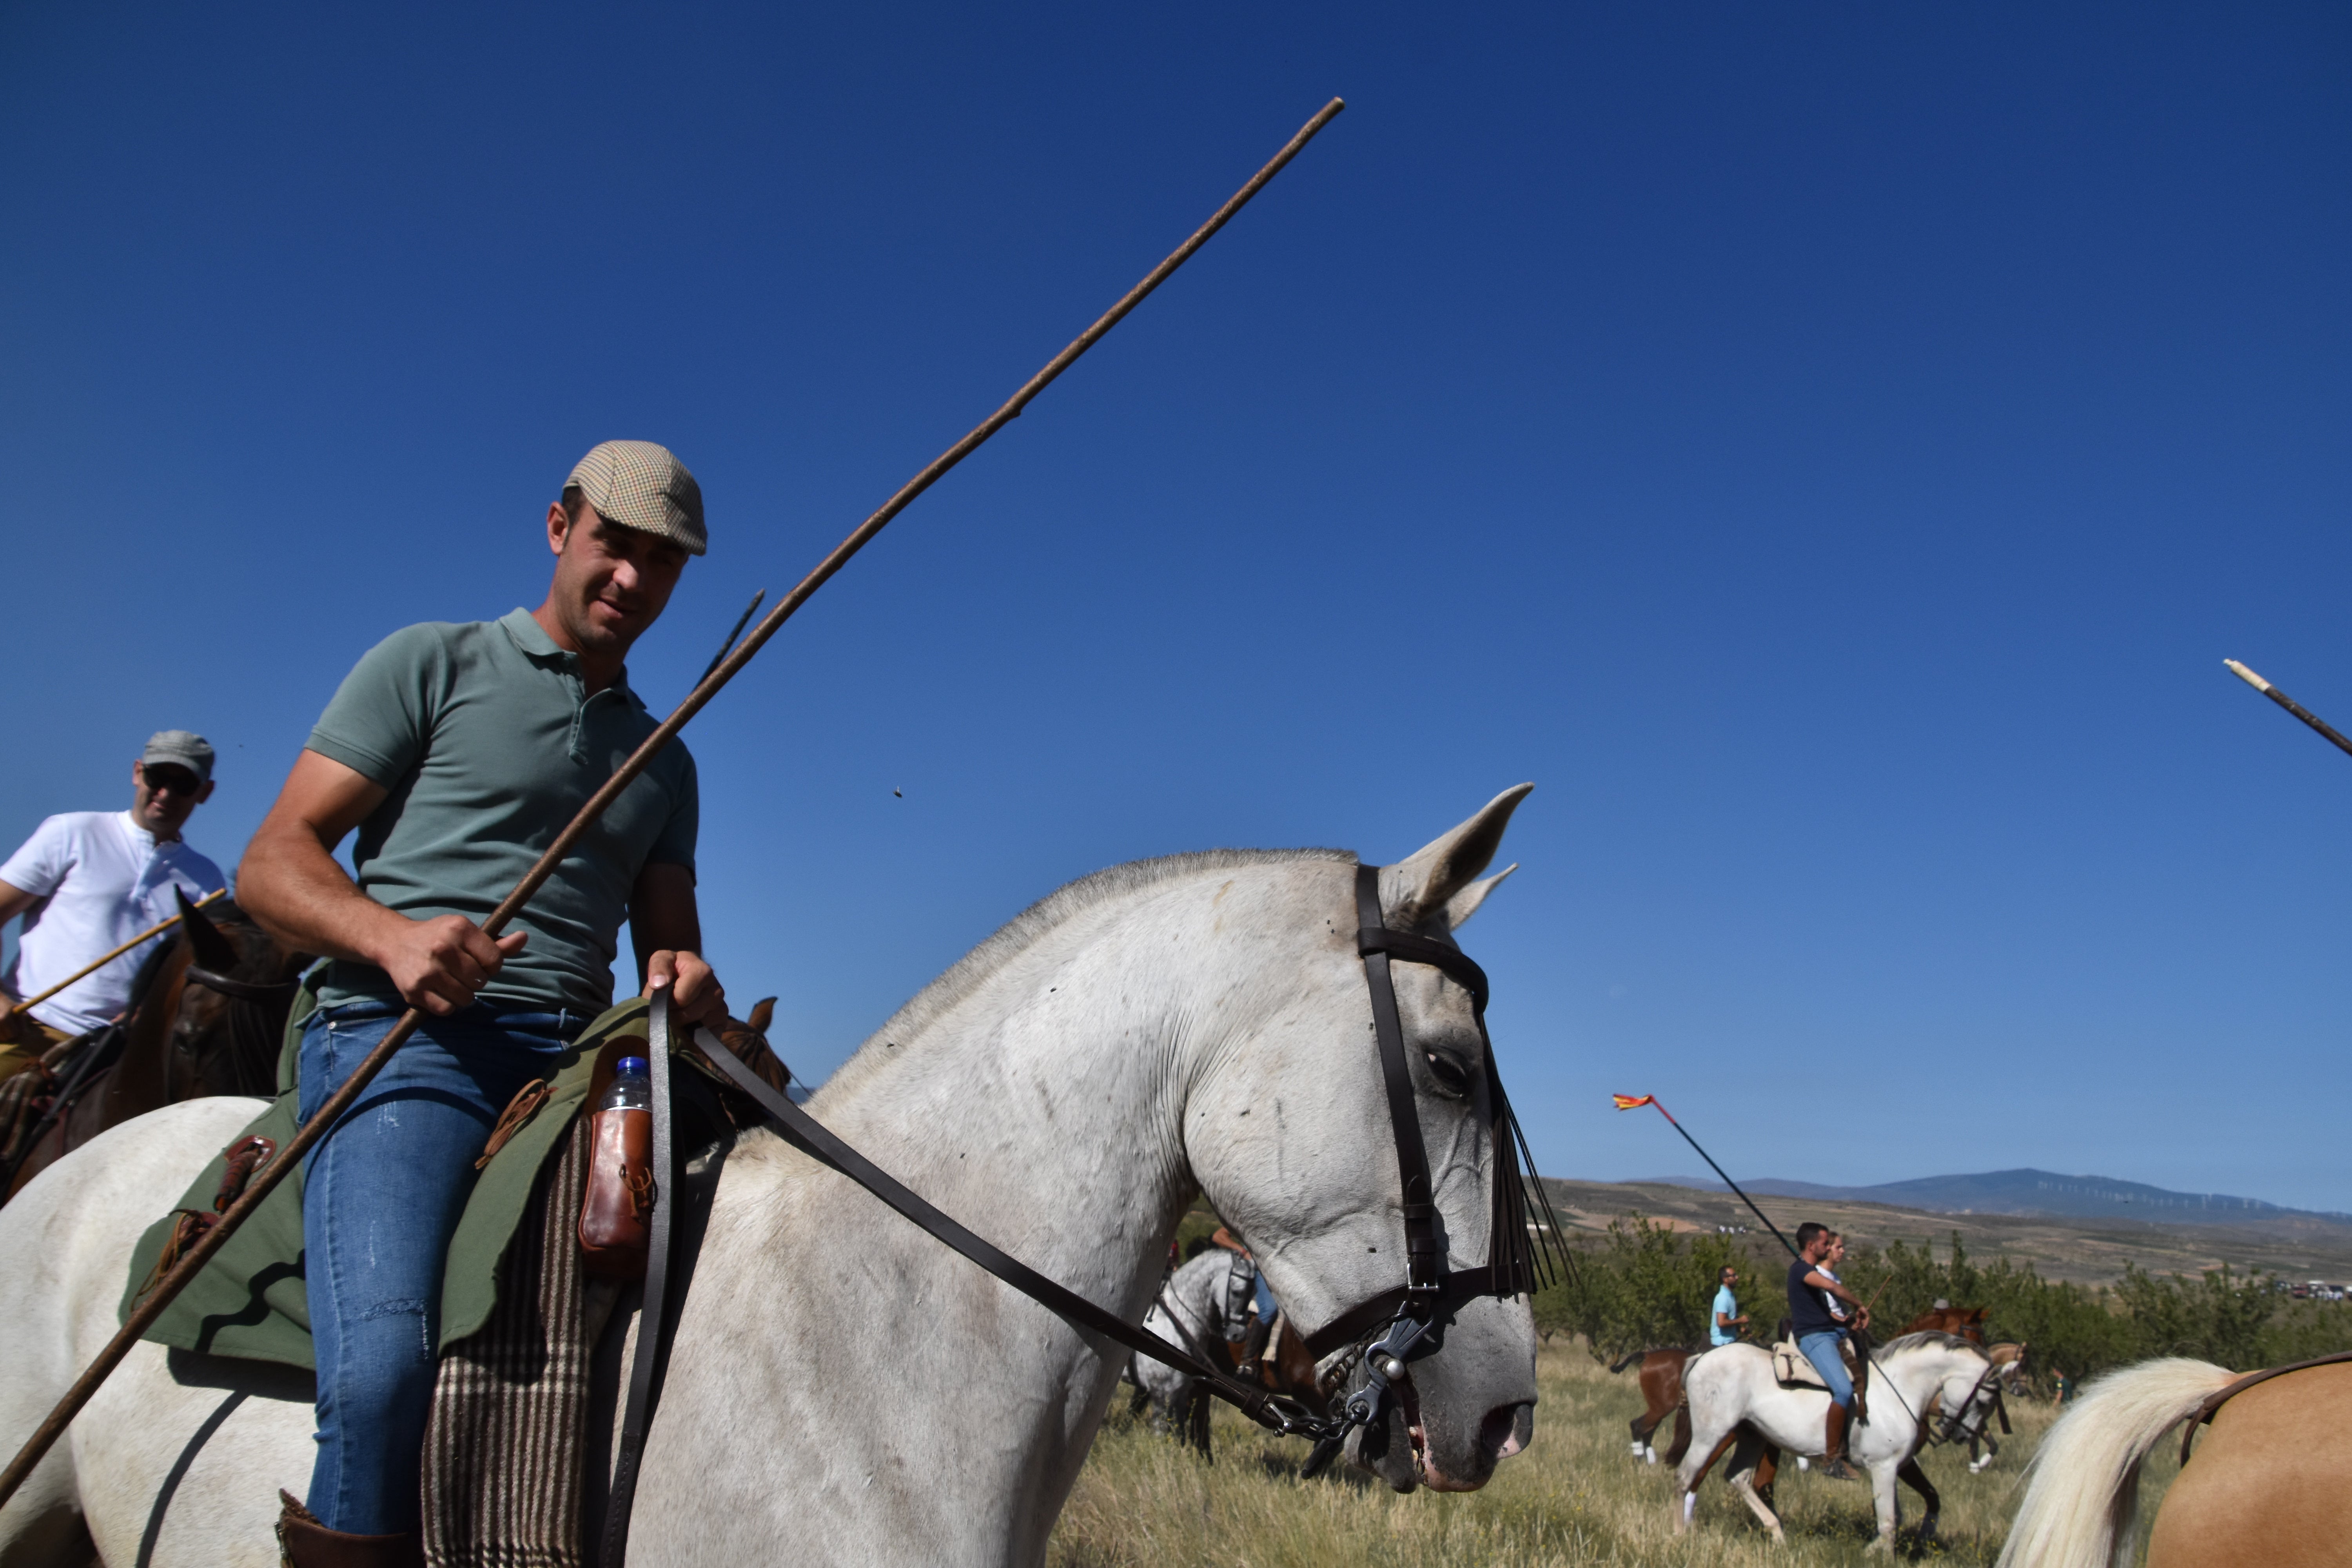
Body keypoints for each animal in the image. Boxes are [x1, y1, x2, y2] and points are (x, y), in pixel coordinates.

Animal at [1684, 1335, 1994, 1552]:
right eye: (1984, 1401)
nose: (1962, 1436)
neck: (1897, 1390)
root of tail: (1702, 1358)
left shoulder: (1899, 1465)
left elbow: (1906, 1510)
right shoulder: (1884, 1467)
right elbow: (1888, 1521)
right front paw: (1882, 1554)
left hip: (1752, 1436)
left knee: (1738, 1478)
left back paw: (1777, 1533)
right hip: (1712, 1435)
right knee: (1690, 1475)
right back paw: (1682, 1530)